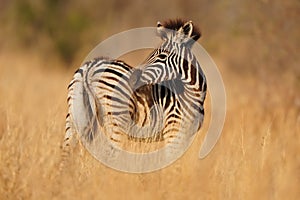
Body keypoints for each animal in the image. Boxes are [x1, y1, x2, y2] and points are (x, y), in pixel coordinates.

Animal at [62, 19, 207, 172]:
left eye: (162, 56)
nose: (133, 78)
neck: (193, 93)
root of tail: (91, 67)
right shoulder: (173, 130)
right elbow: (172, 162)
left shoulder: (186, 134)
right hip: (117, 121)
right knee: (108, 155)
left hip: (75, 116)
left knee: (66, 154)